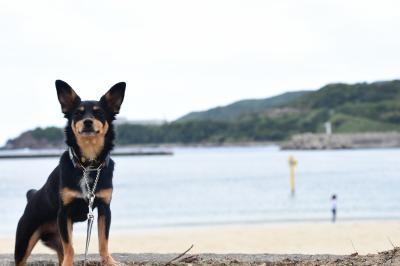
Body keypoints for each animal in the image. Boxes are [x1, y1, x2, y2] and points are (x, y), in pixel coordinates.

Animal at [14, 79, 125, 266]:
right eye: (78, 114)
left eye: (99, 113)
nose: (87, 121)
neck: (88, 164)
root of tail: (31, 197)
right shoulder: (64, 214)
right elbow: (71, 248)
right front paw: (69, 263)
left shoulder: (104, 209)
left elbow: (103, 241)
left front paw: (109, 261)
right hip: (25, 242)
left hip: (56, 237)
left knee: (62, 252)